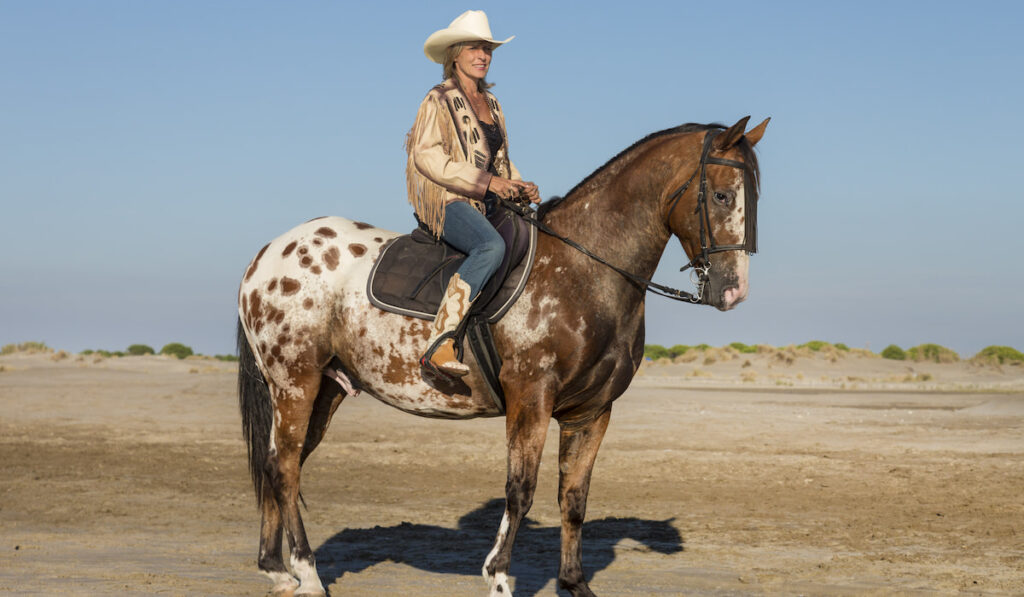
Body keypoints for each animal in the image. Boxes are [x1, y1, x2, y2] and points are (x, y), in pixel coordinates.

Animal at [237, 116, 770, 597]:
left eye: (756, 197)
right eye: (722, 196)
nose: (734, 290)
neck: (584, 270)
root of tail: (269, 254)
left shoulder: (592, 412)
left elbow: (574, 497)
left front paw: (574, 583)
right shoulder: (531, 398)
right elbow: (521, 489)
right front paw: (497, 578)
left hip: (326, 389)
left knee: (279, 466)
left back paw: (276, 570)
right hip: (295, 384)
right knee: (285, 469)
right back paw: (307, 575)